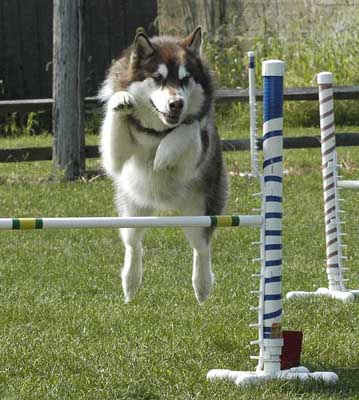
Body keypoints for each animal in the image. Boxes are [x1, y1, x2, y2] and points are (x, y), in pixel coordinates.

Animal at [99, 27, 228, 304]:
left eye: (185, 79)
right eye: (158, 78)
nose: (176, 103)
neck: (158, 131)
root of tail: (164, 204)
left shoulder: (197, 151)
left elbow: (189, 127)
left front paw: (163, 156)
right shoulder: (116, 157)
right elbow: (115, 124)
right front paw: (121, 99)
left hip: (199, 212)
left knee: (202, 247)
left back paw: (202, 285)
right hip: (132, 211)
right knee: (133, 244)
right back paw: (130, 282)